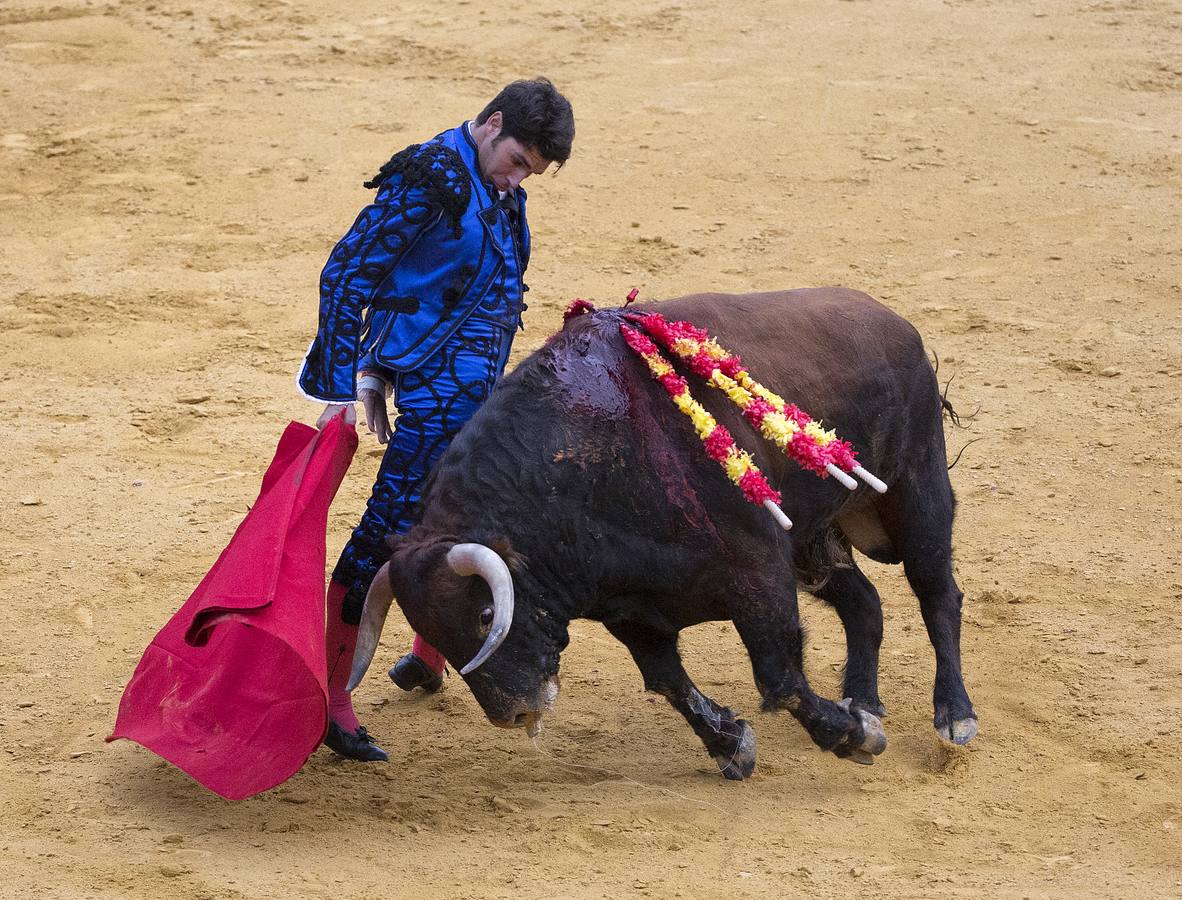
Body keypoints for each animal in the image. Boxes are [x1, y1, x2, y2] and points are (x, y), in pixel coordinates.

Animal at [345, 289, 973, 780]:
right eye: (436, 635)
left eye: (484, 617)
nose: (514, 713)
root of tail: (896, 324)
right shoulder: (629, 607)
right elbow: (670, 682)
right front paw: (733, 746)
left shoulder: (758, 571)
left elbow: (780, 676)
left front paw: (852, 739)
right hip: (816, 538)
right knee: (864, 602)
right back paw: (863, 700)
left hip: (916, 492)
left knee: (938, 594)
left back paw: (953, 716)